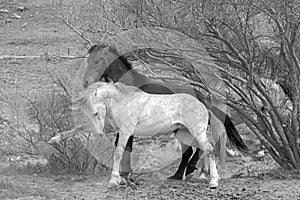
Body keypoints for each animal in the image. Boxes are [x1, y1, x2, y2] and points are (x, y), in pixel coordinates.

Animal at [81, 44, 247, 180]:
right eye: (88, 61)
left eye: (98, 61)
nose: (86, 83)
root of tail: (202, 98)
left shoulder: (128, 127)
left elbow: (127, 147)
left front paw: (125, 174)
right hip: (182, 130)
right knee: (192, 151)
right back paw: (180, 175)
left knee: (201, 148)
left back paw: (194, 172)